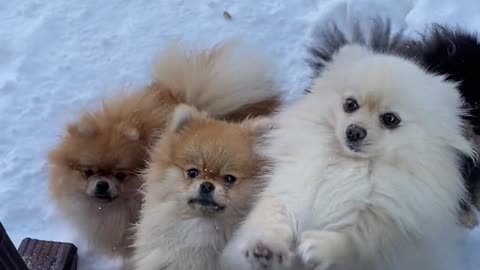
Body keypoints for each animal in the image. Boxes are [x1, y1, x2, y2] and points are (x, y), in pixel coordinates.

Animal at [220, 43, 472, 268]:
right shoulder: (292, 189)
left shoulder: (387, 222)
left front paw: (320, 246)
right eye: (350, 104)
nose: (355, 131)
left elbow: (360, 240)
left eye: (390, 119)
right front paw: (265, 248)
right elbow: (272, 218)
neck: (347, 164)